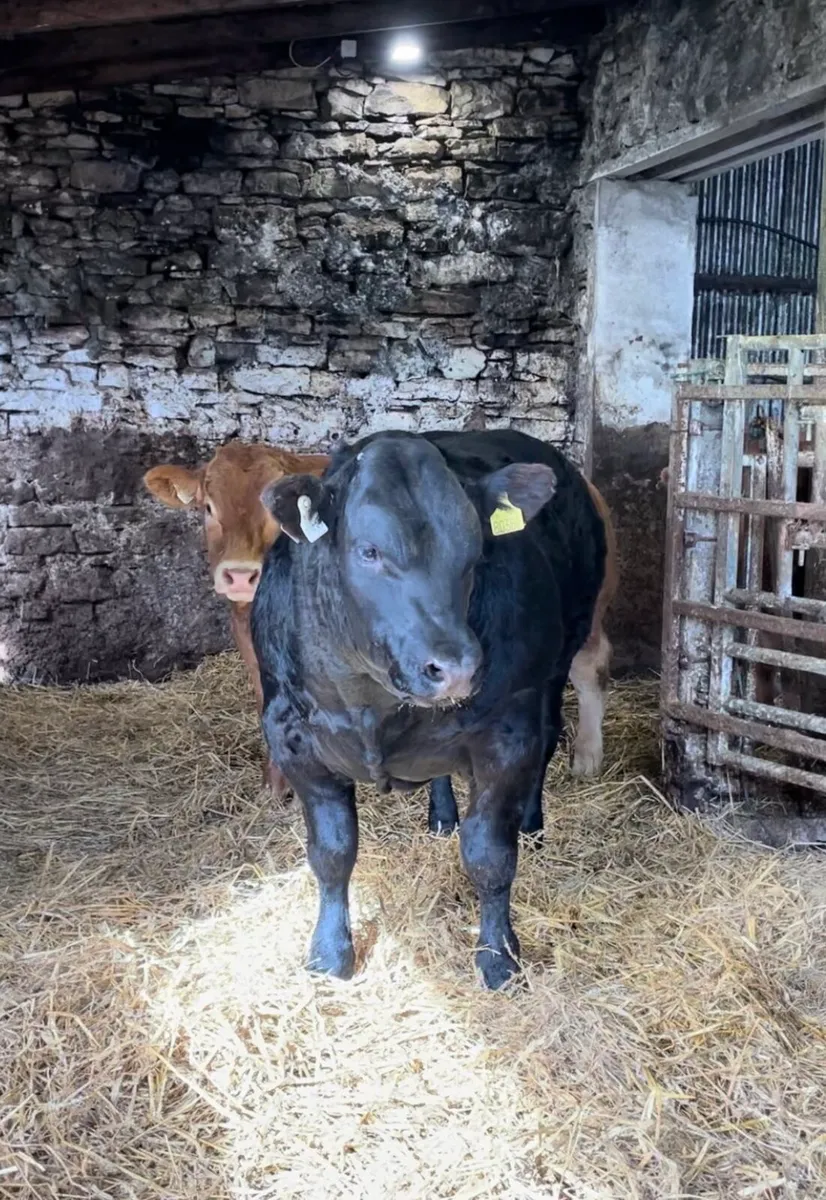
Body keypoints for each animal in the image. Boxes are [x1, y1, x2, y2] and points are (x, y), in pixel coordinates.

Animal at [251, 429, 607, 989]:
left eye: (476, 549)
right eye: (369, 551)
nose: (456, 668)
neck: (372, 702)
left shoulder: (508, 733)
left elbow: (491, 857)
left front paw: (498, 957)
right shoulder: (290, 733)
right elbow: (332, 852)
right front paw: (329, 953)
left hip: (562, 655)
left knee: (551, 735)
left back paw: (532, 821)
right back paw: (441, 817)